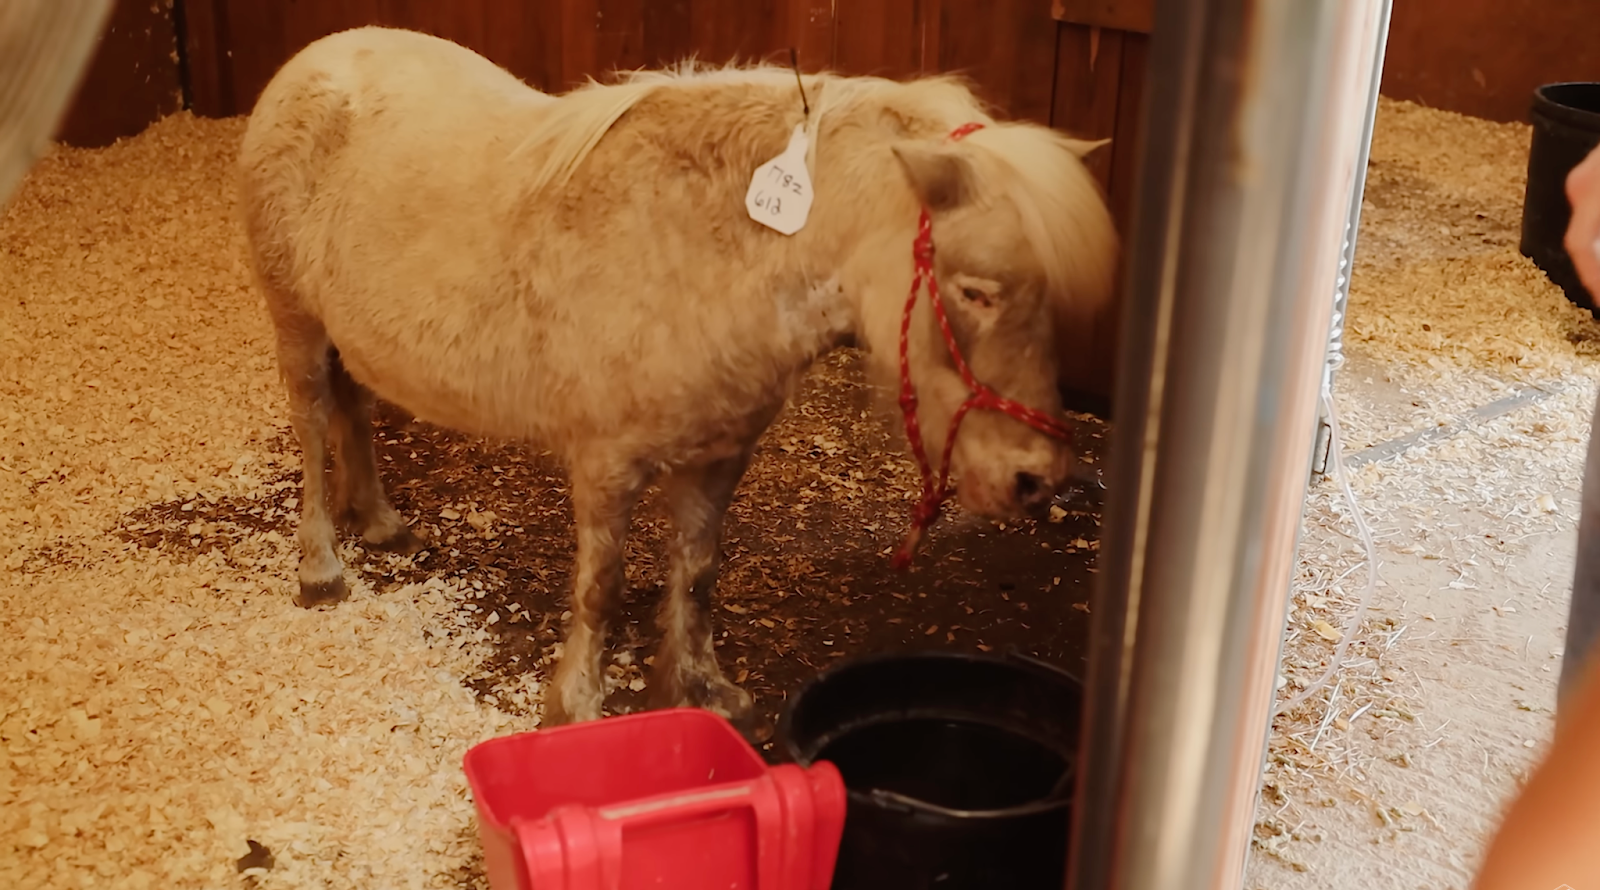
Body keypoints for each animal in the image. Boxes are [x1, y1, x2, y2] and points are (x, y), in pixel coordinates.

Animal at [237, 26, 1118, 728]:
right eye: (976, 291)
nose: (1036, 479)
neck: (706, 250)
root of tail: (313, 61)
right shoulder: (604, 466)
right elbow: (602, 587)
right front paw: (575, 705)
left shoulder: (718, 460)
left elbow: (696, 576)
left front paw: (701, 691)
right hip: (298, 326)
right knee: (312, 426)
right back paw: (321, 565)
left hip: (349, 335)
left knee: (353, 411)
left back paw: (381, 521)